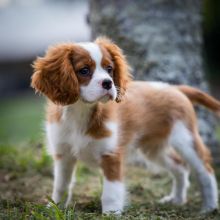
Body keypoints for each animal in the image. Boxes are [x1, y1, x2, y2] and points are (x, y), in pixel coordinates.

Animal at [31, 37, 220, 214]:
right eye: (84, 70)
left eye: (109, 69)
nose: (108, 83)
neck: (81, 111)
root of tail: (175, 88)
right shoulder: (63, 155)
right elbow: (61, 185)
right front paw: (55, 207)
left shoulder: (111, 156)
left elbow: (110, 192)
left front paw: (111, 214)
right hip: (153, 150)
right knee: (180, 167)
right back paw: (178, 200)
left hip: (186, 140)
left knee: (205, 171)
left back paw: (209, 206)